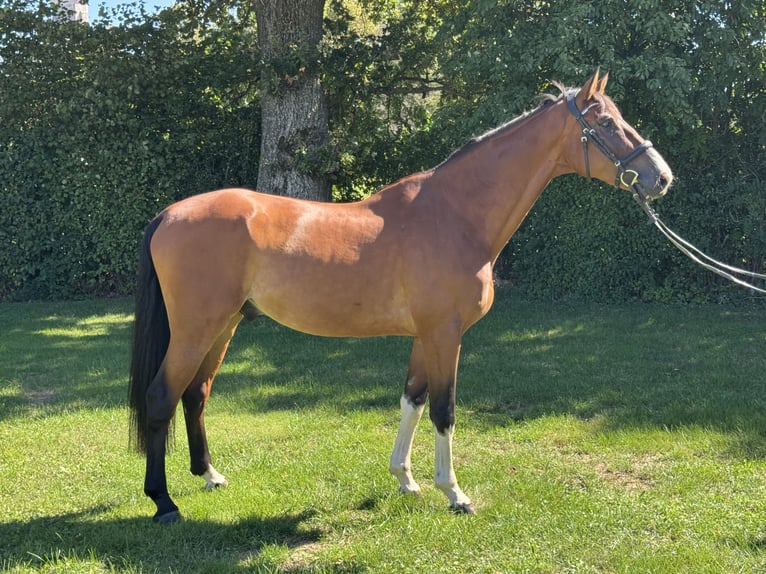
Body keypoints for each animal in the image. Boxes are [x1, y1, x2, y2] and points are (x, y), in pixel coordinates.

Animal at [128, 70, 673, 523]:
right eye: (606, 122)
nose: (661, 177)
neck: (453, 215)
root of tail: (169, 214)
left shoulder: (423, 336)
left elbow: (412, 398)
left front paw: (406, 480)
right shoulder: (445, 334)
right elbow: (444, 410)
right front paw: (455, 493)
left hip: (224, 326)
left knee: (195, 395)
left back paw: (210, 475)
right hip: (196, 329)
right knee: (161, 397)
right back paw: (164, 503)